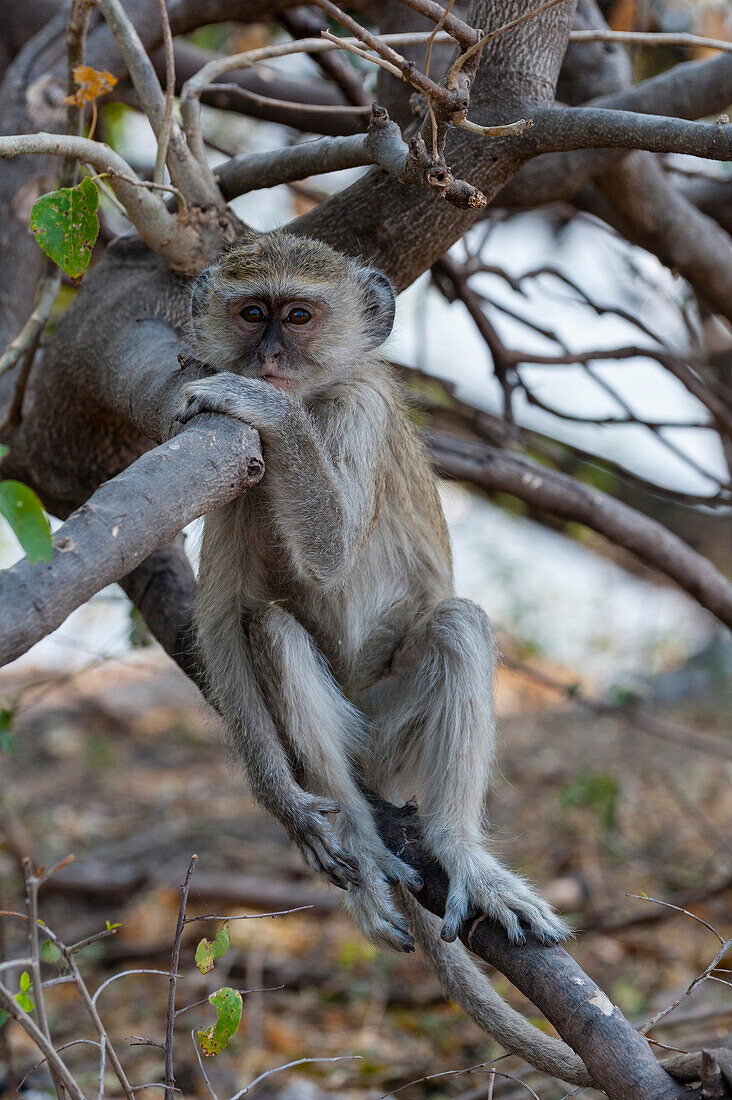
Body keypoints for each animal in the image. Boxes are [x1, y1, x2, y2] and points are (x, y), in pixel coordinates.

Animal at [177, 234, 563, 954]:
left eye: (298, 316)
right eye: (252, 314)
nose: (268, 359)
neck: (318, 396)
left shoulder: (361, 409)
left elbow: (330, 554)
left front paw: (263, 402)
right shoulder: (232, 465)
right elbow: (217, 624)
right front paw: (290, 808)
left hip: (389, 733)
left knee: (458, 625)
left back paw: (458, 850)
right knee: (270, 628)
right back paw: (355, 830)